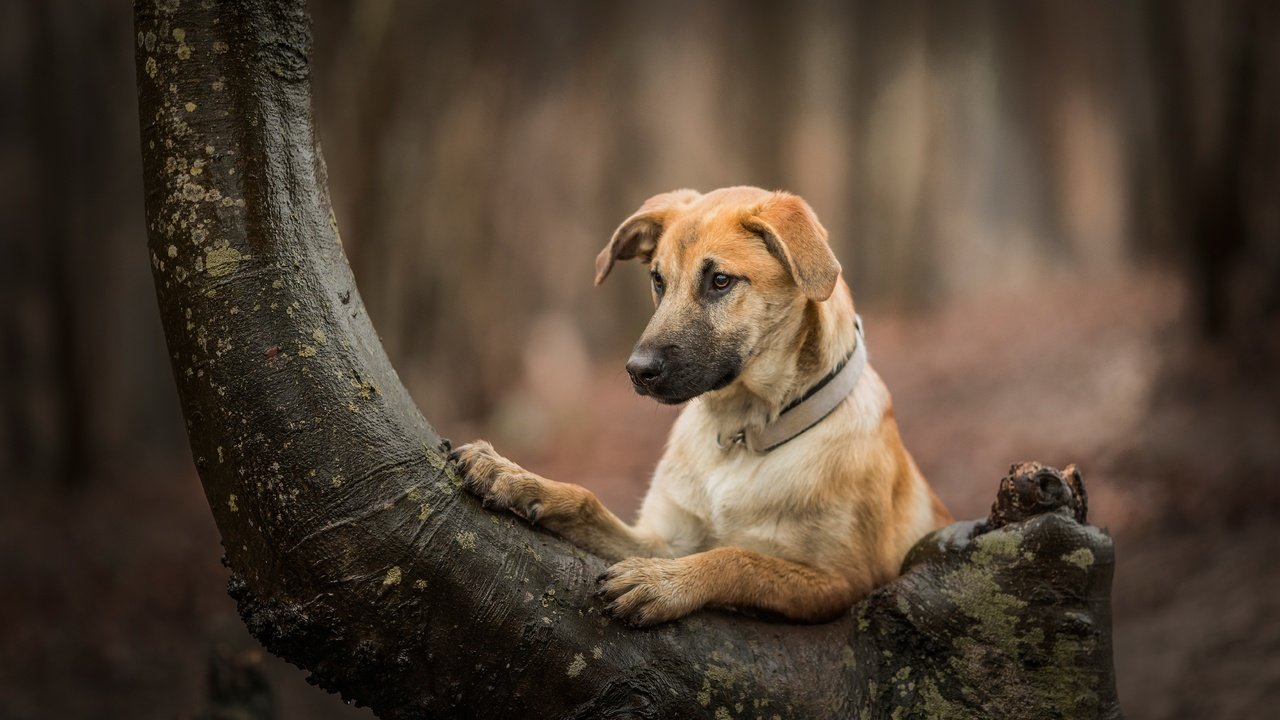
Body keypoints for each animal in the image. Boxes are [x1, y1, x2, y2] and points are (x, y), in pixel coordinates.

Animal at [458, 184, 952, 622]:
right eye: (658, 280)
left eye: (720, 281)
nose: (636, 371)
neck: (742, 434)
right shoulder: (664, 538)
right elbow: (586, 500)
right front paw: (515, 477)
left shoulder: (845, 583)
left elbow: (737, 559)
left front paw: (663, 584)